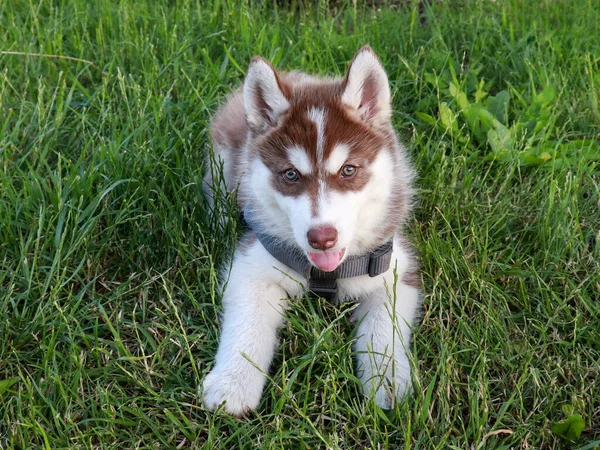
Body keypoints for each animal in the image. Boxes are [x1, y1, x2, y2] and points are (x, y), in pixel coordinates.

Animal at [204, 46, 420, 418]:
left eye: (348, 170)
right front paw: (233, 382)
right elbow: (247, 323)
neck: (326, 273)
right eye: (290, 175)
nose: (322, 238)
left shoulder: (394, 268)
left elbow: (385, 329)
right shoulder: (251, 264)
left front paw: (388, 381)